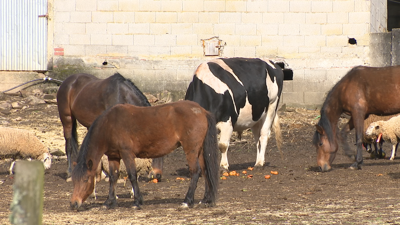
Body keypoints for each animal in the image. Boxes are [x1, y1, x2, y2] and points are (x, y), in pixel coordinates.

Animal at [69, 101, 219, 210]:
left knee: (195, 171)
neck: (109, 125)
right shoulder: (113, 156)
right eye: (74, 181)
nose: (74, 203)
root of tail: (202, 111)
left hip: (191, 150)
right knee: (205, 171)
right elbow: (113, 177)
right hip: (199, 151)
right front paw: (109, 202)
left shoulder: (127, 154)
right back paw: (206, 200)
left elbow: (132, 176)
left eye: (85, 179)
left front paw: (137, 202)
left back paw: (187, 201)